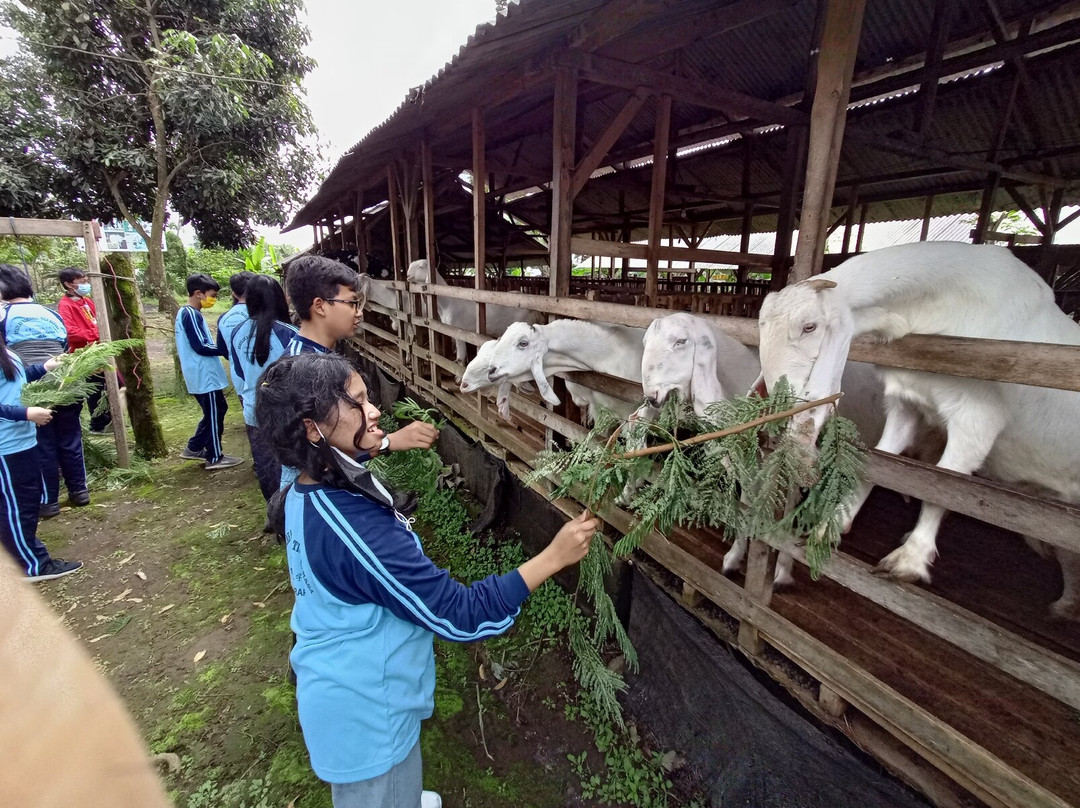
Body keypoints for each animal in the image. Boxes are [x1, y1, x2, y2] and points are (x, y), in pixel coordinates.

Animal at [406, 260, 544, 360]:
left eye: (420, 267)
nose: (407, 275)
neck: (448, 301)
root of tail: (534, 310)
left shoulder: (459, 331)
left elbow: (460, 357)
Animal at [756, 239, 1080, 617]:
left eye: (809, 326)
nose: (779, 405)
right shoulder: (907, 404)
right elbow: (882, 465)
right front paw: (831, 525)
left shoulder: (978, 415)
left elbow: (943, 484)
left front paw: (908, 560)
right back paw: (1066, 605)